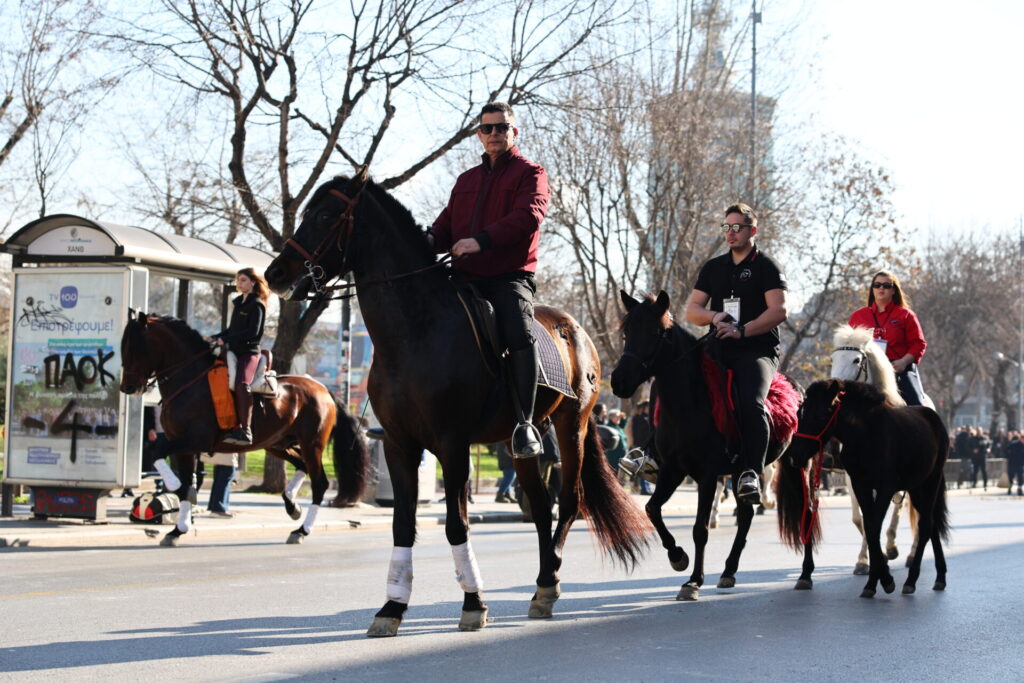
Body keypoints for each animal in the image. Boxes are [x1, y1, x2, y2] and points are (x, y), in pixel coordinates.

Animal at [119, 313, 370, 544]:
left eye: (134, 347)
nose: (126, 387)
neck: (190, 380)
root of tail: (324, 390)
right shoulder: (184, 447)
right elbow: (182, 479)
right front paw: (178, 529)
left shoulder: (195, 440)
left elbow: (156, 452)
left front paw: (175, 491)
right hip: (277, 444)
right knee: (301, 465)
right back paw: (291, 504)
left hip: (311, 445)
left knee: (319, 483)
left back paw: (301, 530)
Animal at [262, 174, 647, 638]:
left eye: (323, 215)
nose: (275, 273)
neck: (414, 332)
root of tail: (576, 328)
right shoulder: (399, 444)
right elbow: (404, 523)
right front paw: (392, 606)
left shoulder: (452, 444)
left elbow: (456, 523)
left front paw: (473, 602)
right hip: (522, 442)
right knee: (539, 506)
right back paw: (542, 585)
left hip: (572, 423)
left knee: (569, 501)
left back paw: (551, 575)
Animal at [610, 290, 802, 602]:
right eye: (626, 332)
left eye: (656, 332)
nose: (619, 381)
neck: (688, 404)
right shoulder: (673, 470)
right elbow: (652, 509)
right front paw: (677, 556)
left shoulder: (708, 474)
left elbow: (699, 529)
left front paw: (693, 581)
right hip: (738, 471)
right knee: (746, 514)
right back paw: (729, 570)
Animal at [774, 378, 950, 598]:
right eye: (799, 414)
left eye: (820, 415)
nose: (795, 455)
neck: (865, 435)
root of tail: (935, 418)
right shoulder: (860, 484)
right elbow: (869, 527)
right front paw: (874, 580)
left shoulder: (885, 487)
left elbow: (873, 527)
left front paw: (885, 579)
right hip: (917, 488)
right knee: (931, 523)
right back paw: (940, 576)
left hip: (931, 481)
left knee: (925, 525)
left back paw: (912, 579)